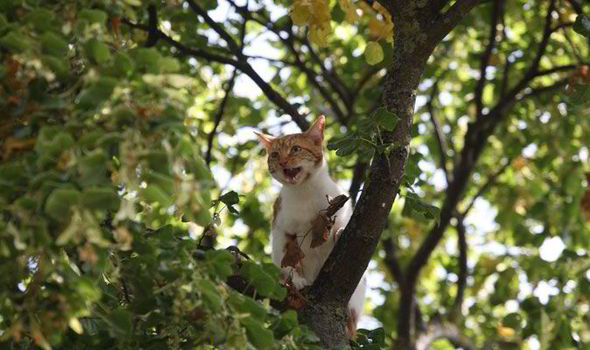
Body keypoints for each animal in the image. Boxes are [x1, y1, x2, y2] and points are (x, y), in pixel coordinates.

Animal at [256, 116, 368, 338]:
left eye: (296, 149)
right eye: (275, 155)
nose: (282, 162)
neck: (304, 191)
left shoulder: (341, 209)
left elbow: (339, 230)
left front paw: (340, 233)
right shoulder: (280, 229)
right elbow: (285, 258)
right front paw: (296, 279)